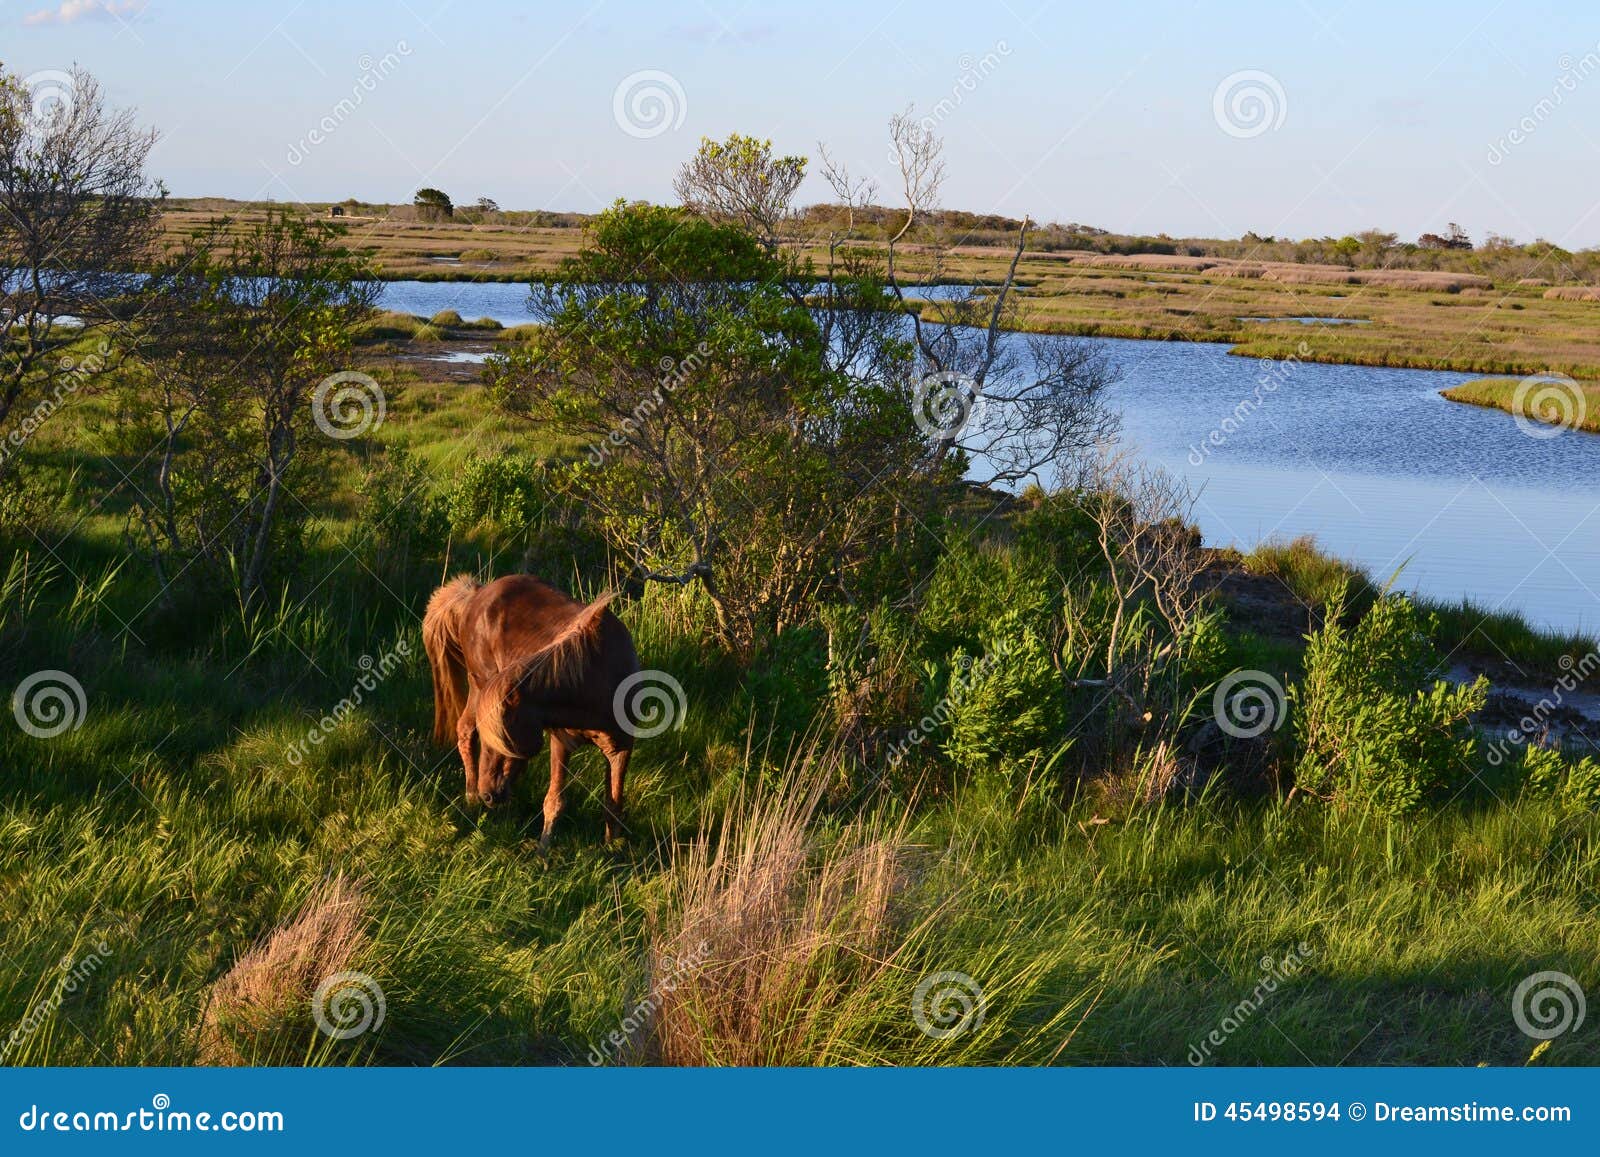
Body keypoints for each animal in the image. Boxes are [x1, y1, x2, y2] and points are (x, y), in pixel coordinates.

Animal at [432, 576, 643, 844]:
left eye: (504, 741)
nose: (487, 795)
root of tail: (478, 592)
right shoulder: (562, 742)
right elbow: (554, 802)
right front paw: (543, 851)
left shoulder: (621, 748)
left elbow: (613, 806)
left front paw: (611, 849)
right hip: (478, 682)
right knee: (465, 730)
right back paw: (470, 798)